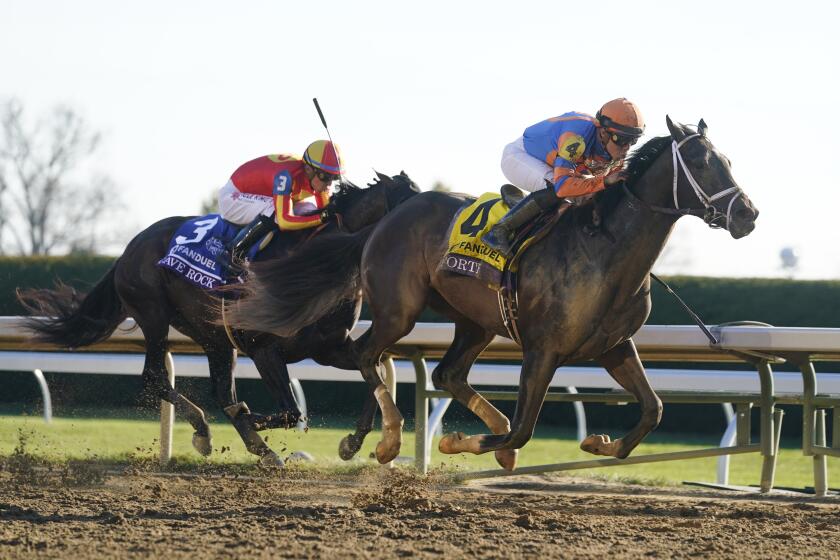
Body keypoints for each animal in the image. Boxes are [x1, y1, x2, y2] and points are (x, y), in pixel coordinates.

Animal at [18, 173, 426, 466]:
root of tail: (130, 247)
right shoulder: (262, 347)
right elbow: (290, 411)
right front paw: (255, 417)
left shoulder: (329, 347)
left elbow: (373, 372)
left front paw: (354, 443)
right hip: (154, 314)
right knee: (155, 375)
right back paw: (207, 430)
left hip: (215, 337)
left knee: (219, 390)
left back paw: (258, 448)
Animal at [228, 117, 760, 468]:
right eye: (700, 162)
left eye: (729, 160)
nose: (748, 215)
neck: (605, 250)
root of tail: (394, 212)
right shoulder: (543, 350)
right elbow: (524, 430)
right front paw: (452, 444)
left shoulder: (613, 347)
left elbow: (653, 410)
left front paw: (599, 444)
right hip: (399, 310)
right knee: (368, 355)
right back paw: (387, 440)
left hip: (475, 322)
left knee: (444, 373)